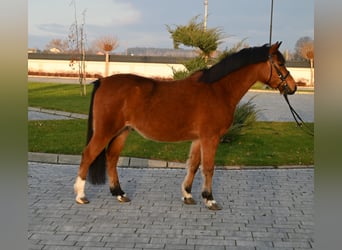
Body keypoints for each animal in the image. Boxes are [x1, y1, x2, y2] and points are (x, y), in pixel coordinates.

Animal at [74, 42, 296, 210]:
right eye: (280, 63)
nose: (293, 88)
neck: (218, 90)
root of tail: (102, 82)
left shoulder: (199, 138)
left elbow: (194, 165)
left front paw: (188, 195)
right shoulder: (210, 137)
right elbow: (208, 167)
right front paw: (210, 199)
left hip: (122, 131)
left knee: (111, 158)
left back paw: (119, 193)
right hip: (105, 131)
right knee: (88, 154)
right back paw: (81, 195)